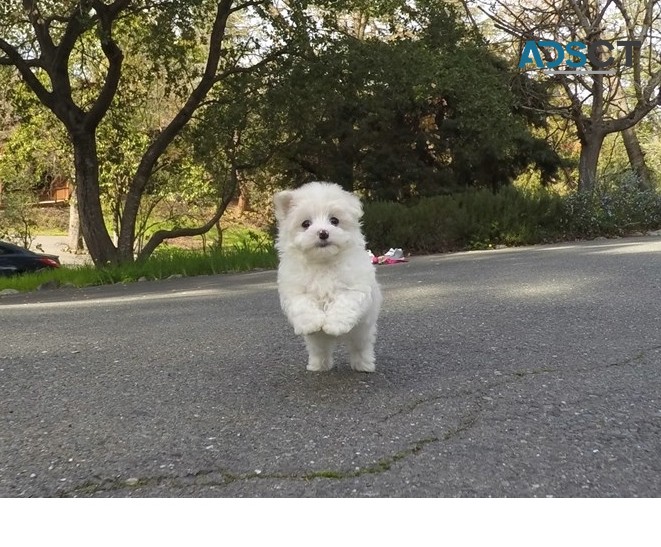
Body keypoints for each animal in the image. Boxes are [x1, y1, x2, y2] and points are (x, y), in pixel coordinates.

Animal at [274, 182, 382, 374]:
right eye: (306, 224)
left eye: (334, 221)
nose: (323, 233)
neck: (323, 261)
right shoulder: (295, 289)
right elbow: (303, 305)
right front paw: (311, 323)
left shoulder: (354, 287)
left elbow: (344, 304)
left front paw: (334, 325)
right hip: (317, 340)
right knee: (320, 349)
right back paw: (319, 365)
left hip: (361, 330)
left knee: (360, 347)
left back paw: (363, 365)